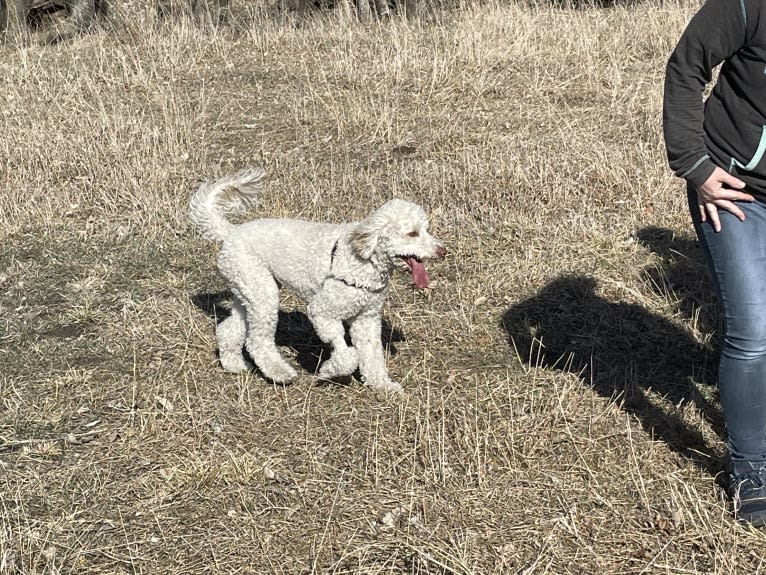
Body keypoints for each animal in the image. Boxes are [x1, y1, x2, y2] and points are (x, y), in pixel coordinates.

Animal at [189, 164, 448, 394]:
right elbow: (345, 350)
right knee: (257, 341)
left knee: (229, 329)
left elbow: (371, 355)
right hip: (262, 295)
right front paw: (330, 371)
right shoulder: (322, 312)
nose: (442, 250)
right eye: (412, 233)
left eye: (426, 229)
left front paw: (382, 385)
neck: (363, 258)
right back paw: (280, 373)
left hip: (250, 292)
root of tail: (230, 232)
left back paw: (233, 365)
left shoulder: (367, 318)